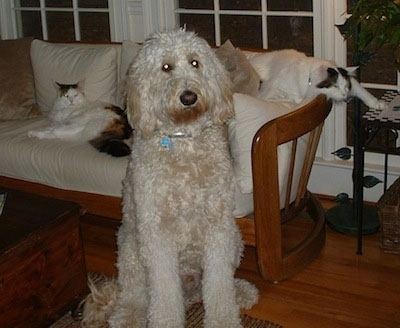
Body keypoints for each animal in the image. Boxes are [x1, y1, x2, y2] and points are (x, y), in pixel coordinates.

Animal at [81, 28, 260, 328]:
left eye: (195, 62)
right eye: (166, 67)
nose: (188, 97)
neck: (183, 141)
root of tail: (189, 288)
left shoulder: (218, 227)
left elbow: (218, 285)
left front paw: (224, 317)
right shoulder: (157, 233)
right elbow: (164, 292)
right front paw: (165, 320)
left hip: (234, 240)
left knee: (213, 284)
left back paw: (240, 292)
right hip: (130, 248)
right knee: (135, 294)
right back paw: (129, 316)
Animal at [250, 48, 388, 109]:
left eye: (346, 87)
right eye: (335, 86)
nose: (345, 95)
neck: (308, 79)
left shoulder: (353, 84)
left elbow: (363, 92)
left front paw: (377, 104)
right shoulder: (275, 89)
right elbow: (294, 98)